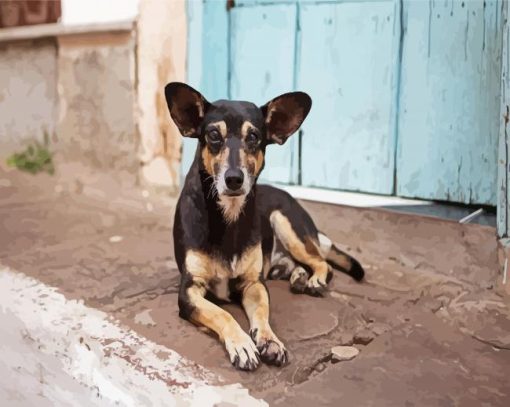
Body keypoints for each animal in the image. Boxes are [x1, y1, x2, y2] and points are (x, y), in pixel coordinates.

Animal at [165, 81, 364, 372]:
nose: (234, 179)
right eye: (213, 135)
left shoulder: (254, 284)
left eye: (253, 137)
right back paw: (298, 277)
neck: (228, 217)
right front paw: (242, 344)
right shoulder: (189, 291)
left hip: (285, 222)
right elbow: (222, 313)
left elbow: (262, 313)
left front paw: (270, 340)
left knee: (321, 262)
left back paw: (313, 280)